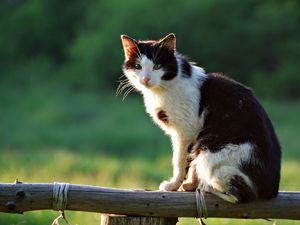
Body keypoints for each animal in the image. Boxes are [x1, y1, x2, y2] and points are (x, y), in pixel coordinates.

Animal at [119, 33, 282, 204]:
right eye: (138, 66)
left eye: (157, 65)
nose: (145, 78)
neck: (164, 87)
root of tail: (271, 190)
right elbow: (191, 163)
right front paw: (189, 185)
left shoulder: (186, 130)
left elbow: (181, 160)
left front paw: (174, 185)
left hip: (210, 154)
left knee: (242, 195)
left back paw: (207, 187)